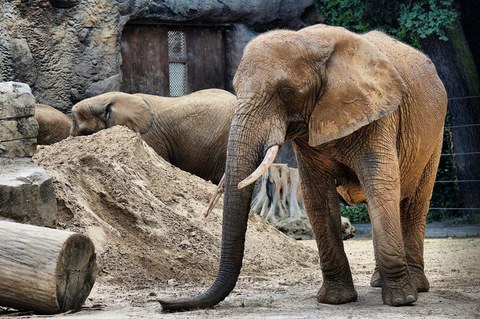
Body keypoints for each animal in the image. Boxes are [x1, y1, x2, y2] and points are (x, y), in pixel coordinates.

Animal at [159, 24, 448, 312]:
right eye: (236, 88)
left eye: (285, 91)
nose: (163, 303)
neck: (312, 41)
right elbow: (316, 196)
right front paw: (335, 300)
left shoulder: (379, 116)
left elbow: (380, 185)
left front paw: (401, 301)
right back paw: (378, 282)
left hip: (435, 137)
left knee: (413, 203)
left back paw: (415, 286)